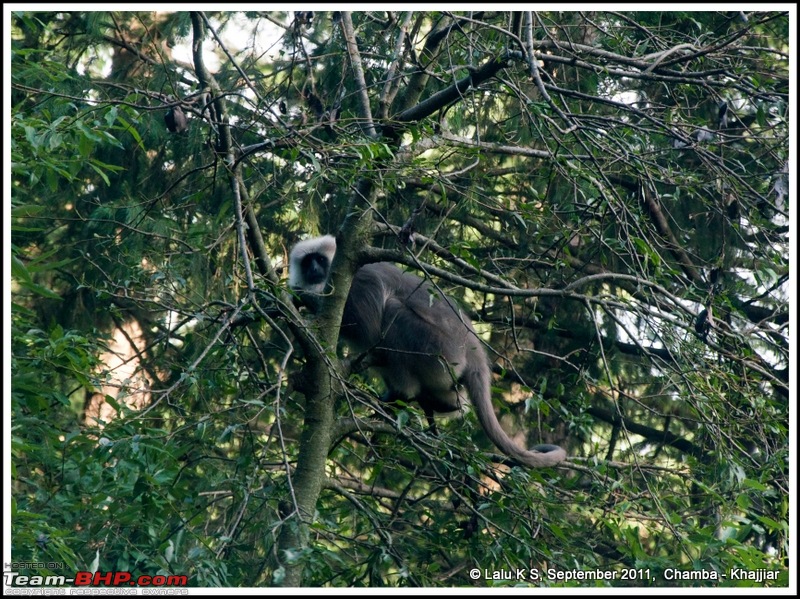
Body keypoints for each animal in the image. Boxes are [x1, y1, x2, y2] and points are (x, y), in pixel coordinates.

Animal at [290, 234, 564, 468]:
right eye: (307, 261)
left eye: (319, 260)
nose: (313, 270)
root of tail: (472, 347)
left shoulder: (358, 283)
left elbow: (366, 325)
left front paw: (302, 297)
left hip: (440, 350)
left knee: (393, 311)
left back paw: (403, 393)